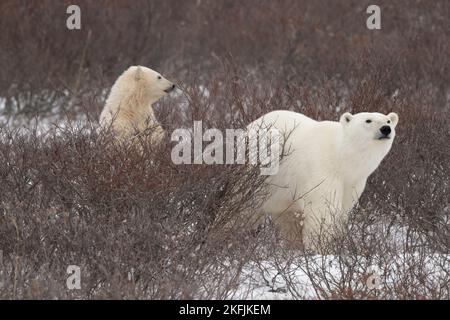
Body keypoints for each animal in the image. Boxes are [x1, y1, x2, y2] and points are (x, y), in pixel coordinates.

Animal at [248, 110, 400, 250]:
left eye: (388, 121)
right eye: (368, 120)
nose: (386, 129)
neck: (340, 155)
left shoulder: (352, 183)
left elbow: (342, 210)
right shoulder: (322, 170)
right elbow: (323, 209)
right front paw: (320, 247)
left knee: (287, 218)